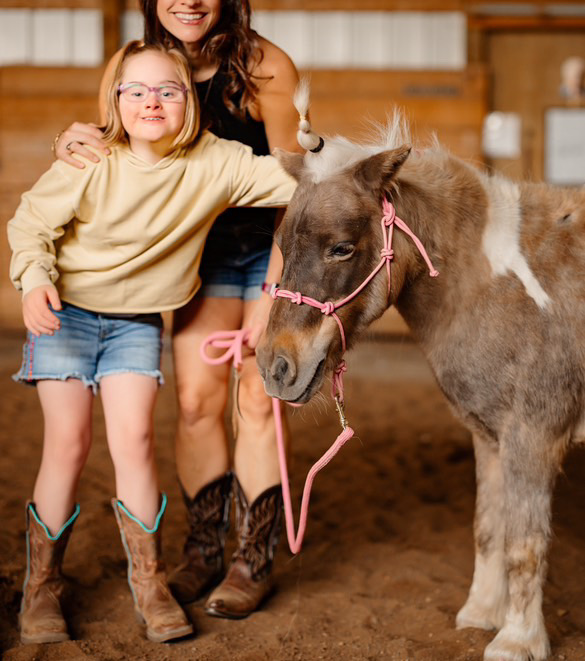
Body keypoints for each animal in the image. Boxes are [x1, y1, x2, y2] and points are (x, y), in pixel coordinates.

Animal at [258, 111, 584, 656]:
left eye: (341, 247)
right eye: (282, 246)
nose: (274, 366)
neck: (499, 288)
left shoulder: (532, 438)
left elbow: (523, 543)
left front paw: (517, 640)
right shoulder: (489, 437)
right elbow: (489, 528)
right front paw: (481, 614)